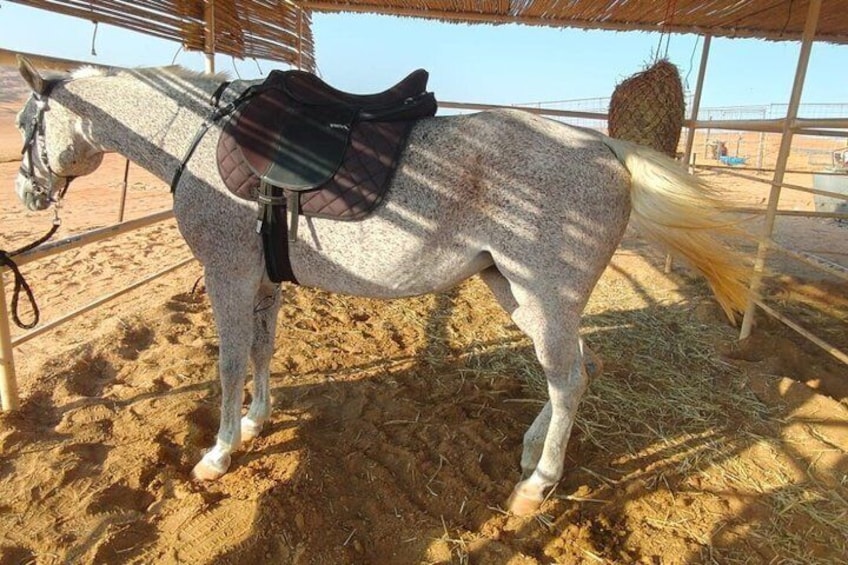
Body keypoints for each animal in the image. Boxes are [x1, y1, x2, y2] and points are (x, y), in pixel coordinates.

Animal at [12, 56, 749, 516]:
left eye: (25, 125)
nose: (26, 193)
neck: (193, 131)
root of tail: (607, 150)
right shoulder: (263, 280)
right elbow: (260, 352)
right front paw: (256, 420)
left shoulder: (228, 273)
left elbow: (226, 364)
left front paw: (219, 452)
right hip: (518, 292)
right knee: (573, 369)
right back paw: (532, 450)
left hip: (542, 295)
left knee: (569, 379)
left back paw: (537, 485)